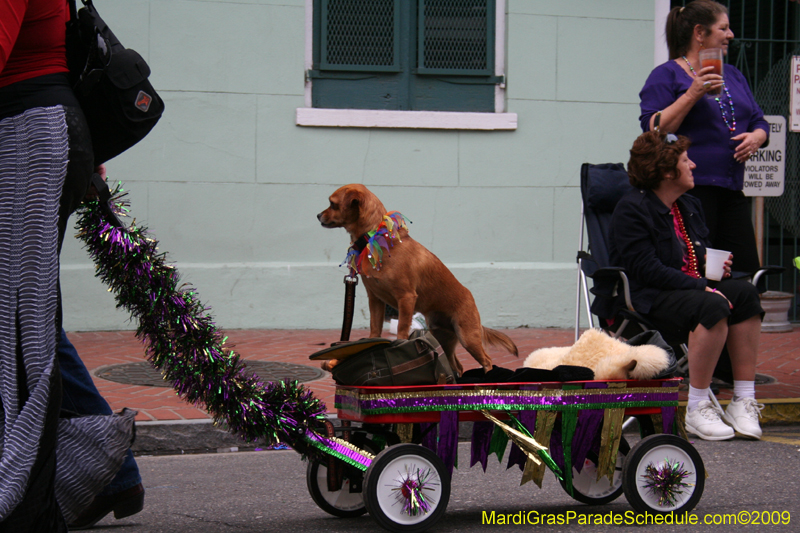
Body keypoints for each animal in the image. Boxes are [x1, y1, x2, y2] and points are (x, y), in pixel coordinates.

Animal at [318, 183, 520, 374]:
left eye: (332, 204)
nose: (318, 215)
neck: (375, 237)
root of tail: (470, 297)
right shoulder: (375, 299)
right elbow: (374, 329)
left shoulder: (406, 298)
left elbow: (402, 329)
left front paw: (398, 346)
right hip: (443, 338)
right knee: (458, 365)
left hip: (467, 335)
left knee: (487, 360)